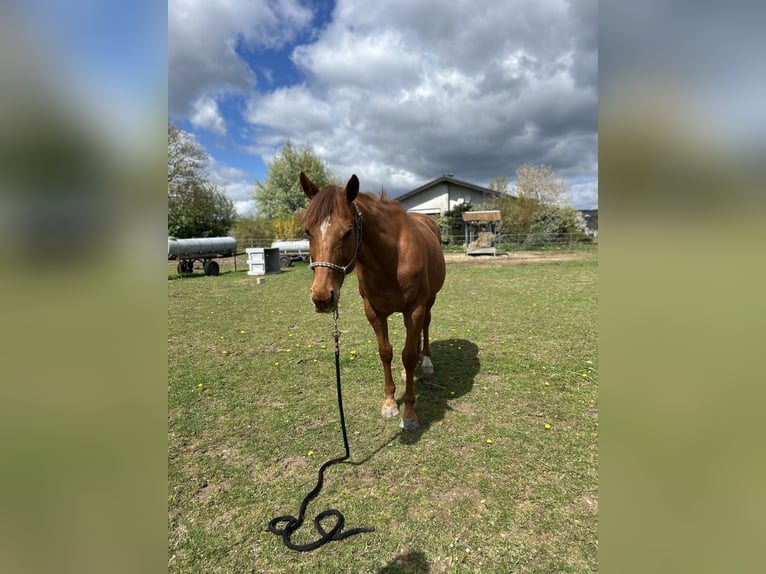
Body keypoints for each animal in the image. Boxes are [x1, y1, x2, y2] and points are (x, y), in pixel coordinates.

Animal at [299, 172, 446, 430]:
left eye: (348, 232)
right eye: (308, 231)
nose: (322, 297)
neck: (391, 258)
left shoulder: (415, 308)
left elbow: (408, 355)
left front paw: (409, 414)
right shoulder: (374, 311)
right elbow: (386, 352)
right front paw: (390, 403)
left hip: (429, 302)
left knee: (425, 327)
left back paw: (426, 361)